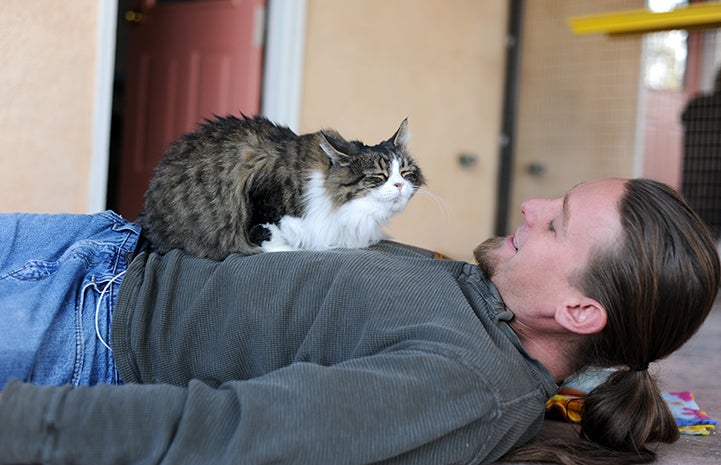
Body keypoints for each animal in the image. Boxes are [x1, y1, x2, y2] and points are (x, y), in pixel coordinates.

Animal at [136, 113, 422, 260]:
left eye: (405, 173)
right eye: (379, 176)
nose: (399, 185)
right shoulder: (261, 206)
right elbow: (273, 238)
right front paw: (290, 248)